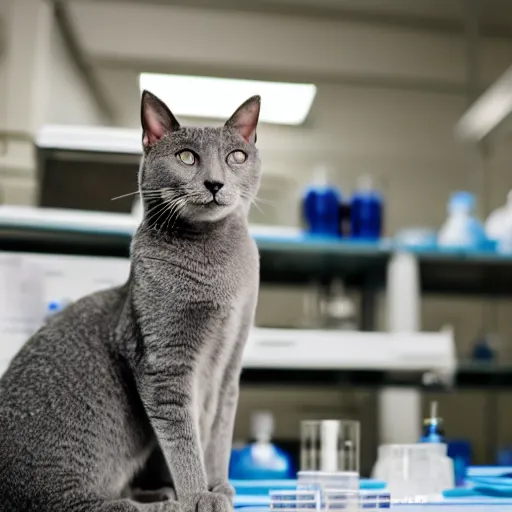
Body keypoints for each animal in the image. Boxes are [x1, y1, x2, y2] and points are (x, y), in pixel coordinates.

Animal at [0, 90, 262, 510]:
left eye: (236, 157)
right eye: (186, 157)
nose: (215, 183)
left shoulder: (228, 364)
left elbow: (219, 432)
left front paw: (220, 486)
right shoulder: (163, 364)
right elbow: (183, 439)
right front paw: (198, 495)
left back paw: (157, 491)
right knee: (97, 505)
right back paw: (164, 501)